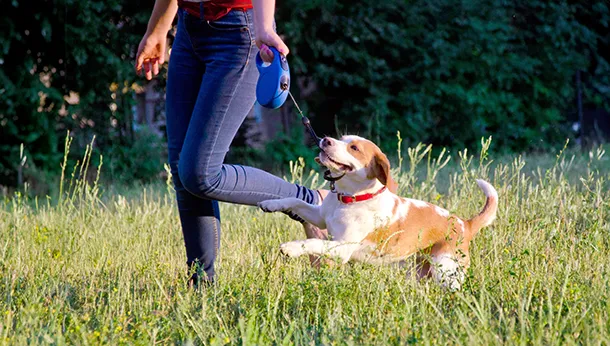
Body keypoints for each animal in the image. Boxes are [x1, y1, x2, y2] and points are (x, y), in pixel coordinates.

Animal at [256, 134, 494, 290]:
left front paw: (292, 248)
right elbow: (295, 201)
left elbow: (312, 242)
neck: (349, 199)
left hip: (446, 271)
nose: (325, 140)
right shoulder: (321, 218)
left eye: (354, 148)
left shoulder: (343, 248)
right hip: (420, 272)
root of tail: (465, 223)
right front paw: (270, 203)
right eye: (341, 138)